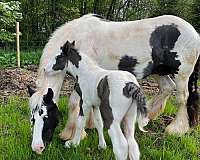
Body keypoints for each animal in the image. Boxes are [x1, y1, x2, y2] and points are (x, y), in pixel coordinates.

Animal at [28, 14, 199, 153]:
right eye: (32, 118)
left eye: (45, 116)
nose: (37, 148)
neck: (78, 39)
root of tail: (194, 33)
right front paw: (89, 125)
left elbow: (74, 104)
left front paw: (70, 134)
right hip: (159, 71)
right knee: (167, 88)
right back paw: (147, 116)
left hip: (181, 74)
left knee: (182, 98)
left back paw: (176, 129)